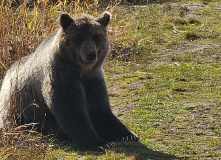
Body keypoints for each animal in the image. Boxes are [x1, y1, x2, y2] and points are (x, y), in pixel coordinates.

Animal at [0, 11, 138, 150]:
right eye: (79, 37)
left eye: (96, 36)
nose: (91, 54)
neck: (81, 70)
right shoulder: (62, 76)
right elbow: (71, 109)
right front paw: (99, 143)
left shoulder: (93, 79)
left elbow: (99, 107)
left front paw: (127, 134)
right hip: (19, 108)